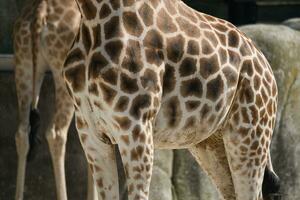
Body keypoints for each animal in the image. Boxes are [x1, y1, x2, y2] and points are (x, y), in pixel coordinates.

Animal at [63, 0, 282, 200]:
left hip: (250, 136)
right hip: (212, 143)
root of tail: (267, 68)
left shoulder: (136, 129)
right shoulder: (90, 133)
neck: (92, 17)